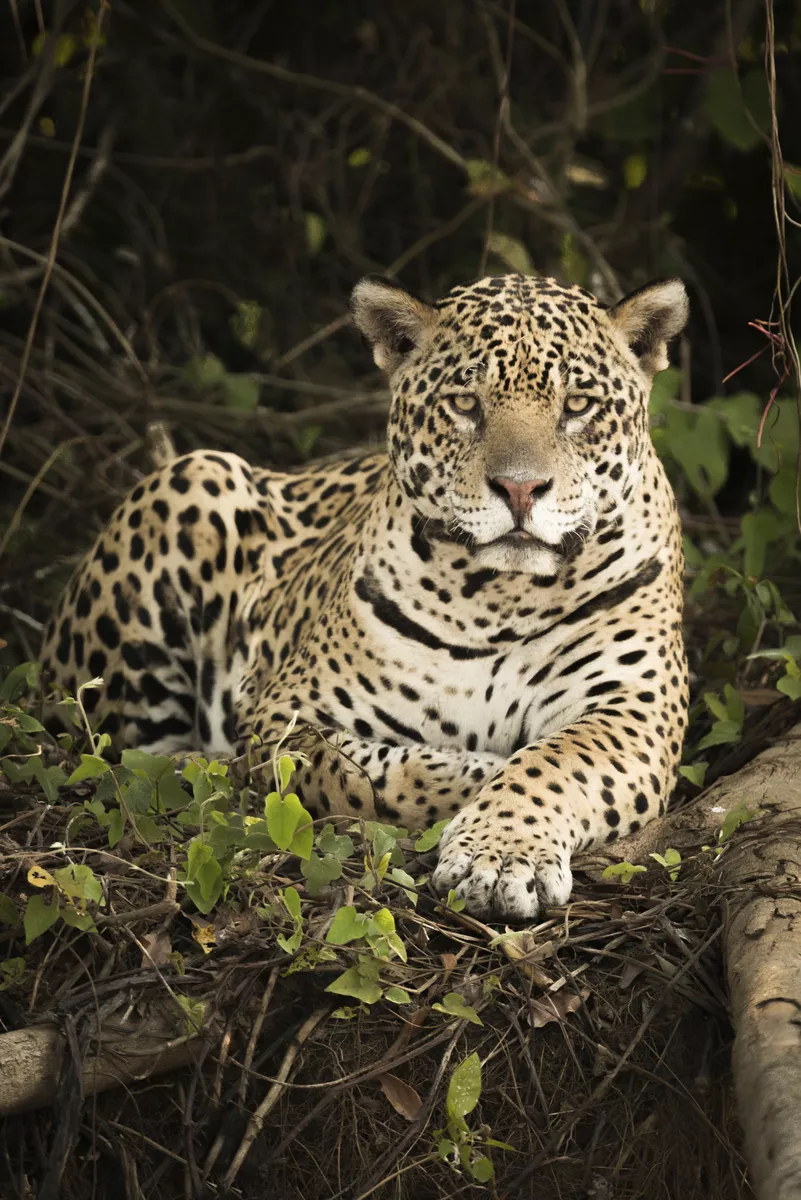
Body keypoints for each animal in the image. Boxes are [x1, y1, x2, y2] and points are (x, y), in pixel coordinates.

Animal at [40, 271, 690, 920]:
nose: (520, 489)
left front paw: (503, 856)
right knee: (109, 749)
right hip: (194, 482)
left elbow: (552, 763)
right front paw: (479, 774)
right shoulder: (288, 712)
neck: (500, 596)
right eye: (465, 403)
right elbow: (362, 775)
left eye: (578, 406)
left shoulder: (633, 708)